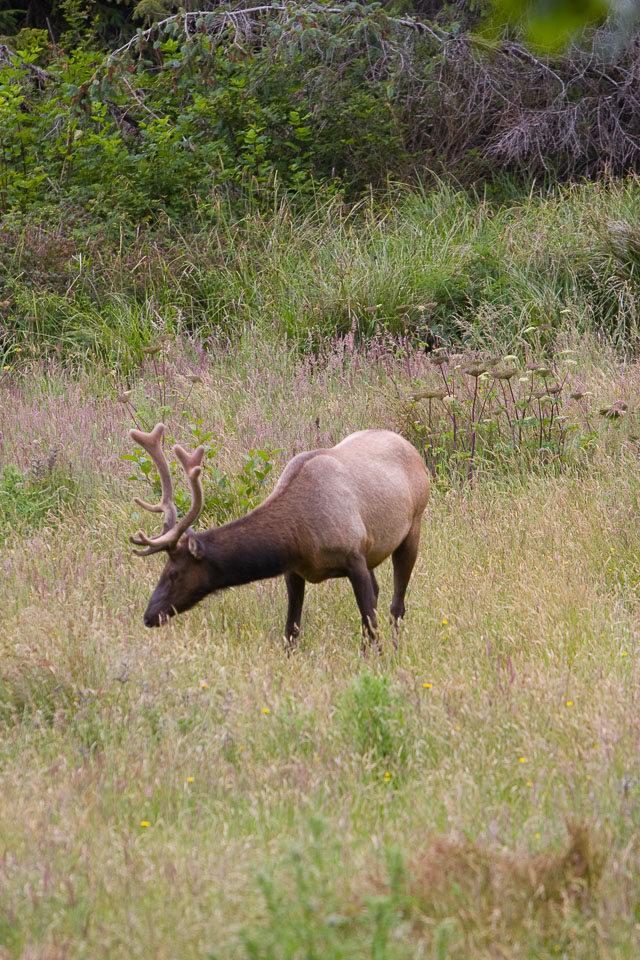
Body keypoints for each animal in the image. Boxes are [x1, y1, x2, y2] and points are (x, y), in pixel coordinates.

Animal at [128, 423, 430, 649]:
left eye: (173, 573)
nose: (149, 615)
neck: (301, 535)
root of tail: (411, 448)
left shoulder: (354, 557)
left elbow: (370, 624)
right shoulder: (295, 571)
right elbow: (291, 632)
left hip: (413, 527)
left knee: (396, 606)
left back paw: (395, 647)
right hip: (373, 553)